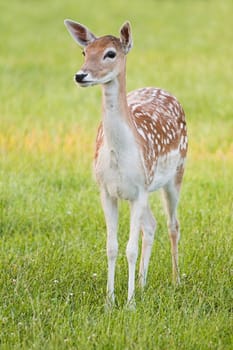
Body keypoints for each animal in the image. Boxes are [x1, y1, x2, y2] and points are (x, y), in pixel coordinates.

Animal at [63, 19, 187, 306]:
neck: (120, 156)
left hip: (177, 171)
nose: (81, 75)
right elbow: (112, 246)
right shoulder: (107, 190)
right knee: (151, 225)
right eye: (84, 52)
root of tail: (163, 89)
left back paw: (175, 280)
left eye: (110, 53)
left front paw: (129, 304)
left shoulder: (139, 190)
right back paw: (142, 283)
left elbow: (130, 249)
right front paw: (110, 301)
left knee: (172, 225)